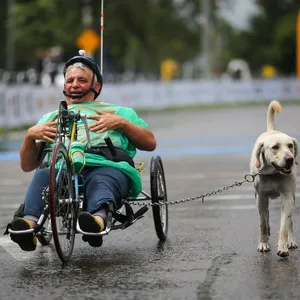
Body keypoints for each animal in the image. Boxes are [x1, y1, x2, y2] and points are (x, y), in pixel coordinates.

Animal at [251, 101, 298, 258]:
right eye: (275, 147)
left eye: (290, 146)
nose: (290, 159)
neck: (273, 174)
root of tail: (272, 130)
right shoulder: (261, 198)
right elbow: (263, 223)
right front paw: (263, 243)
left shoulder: (288, 197)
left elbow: (284, 225)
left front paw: (283, 246)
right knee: (265, 216)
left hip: (293, 196)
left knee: (290, 221)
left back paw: (291, 241)